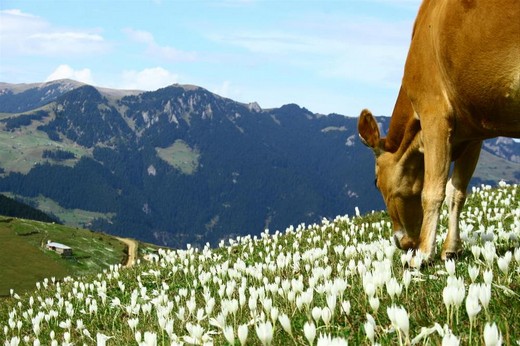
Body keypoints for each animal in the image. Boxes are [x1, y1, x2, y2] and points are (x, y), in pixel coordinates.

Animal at [358, 0, 520, 264]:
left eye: (375, 181)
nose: (400, 242)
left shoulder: (434, 112)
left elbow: (432, 190)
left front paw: (424, 254)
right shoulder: (473, 135)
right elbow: (457, 190)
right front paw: (450, 249)